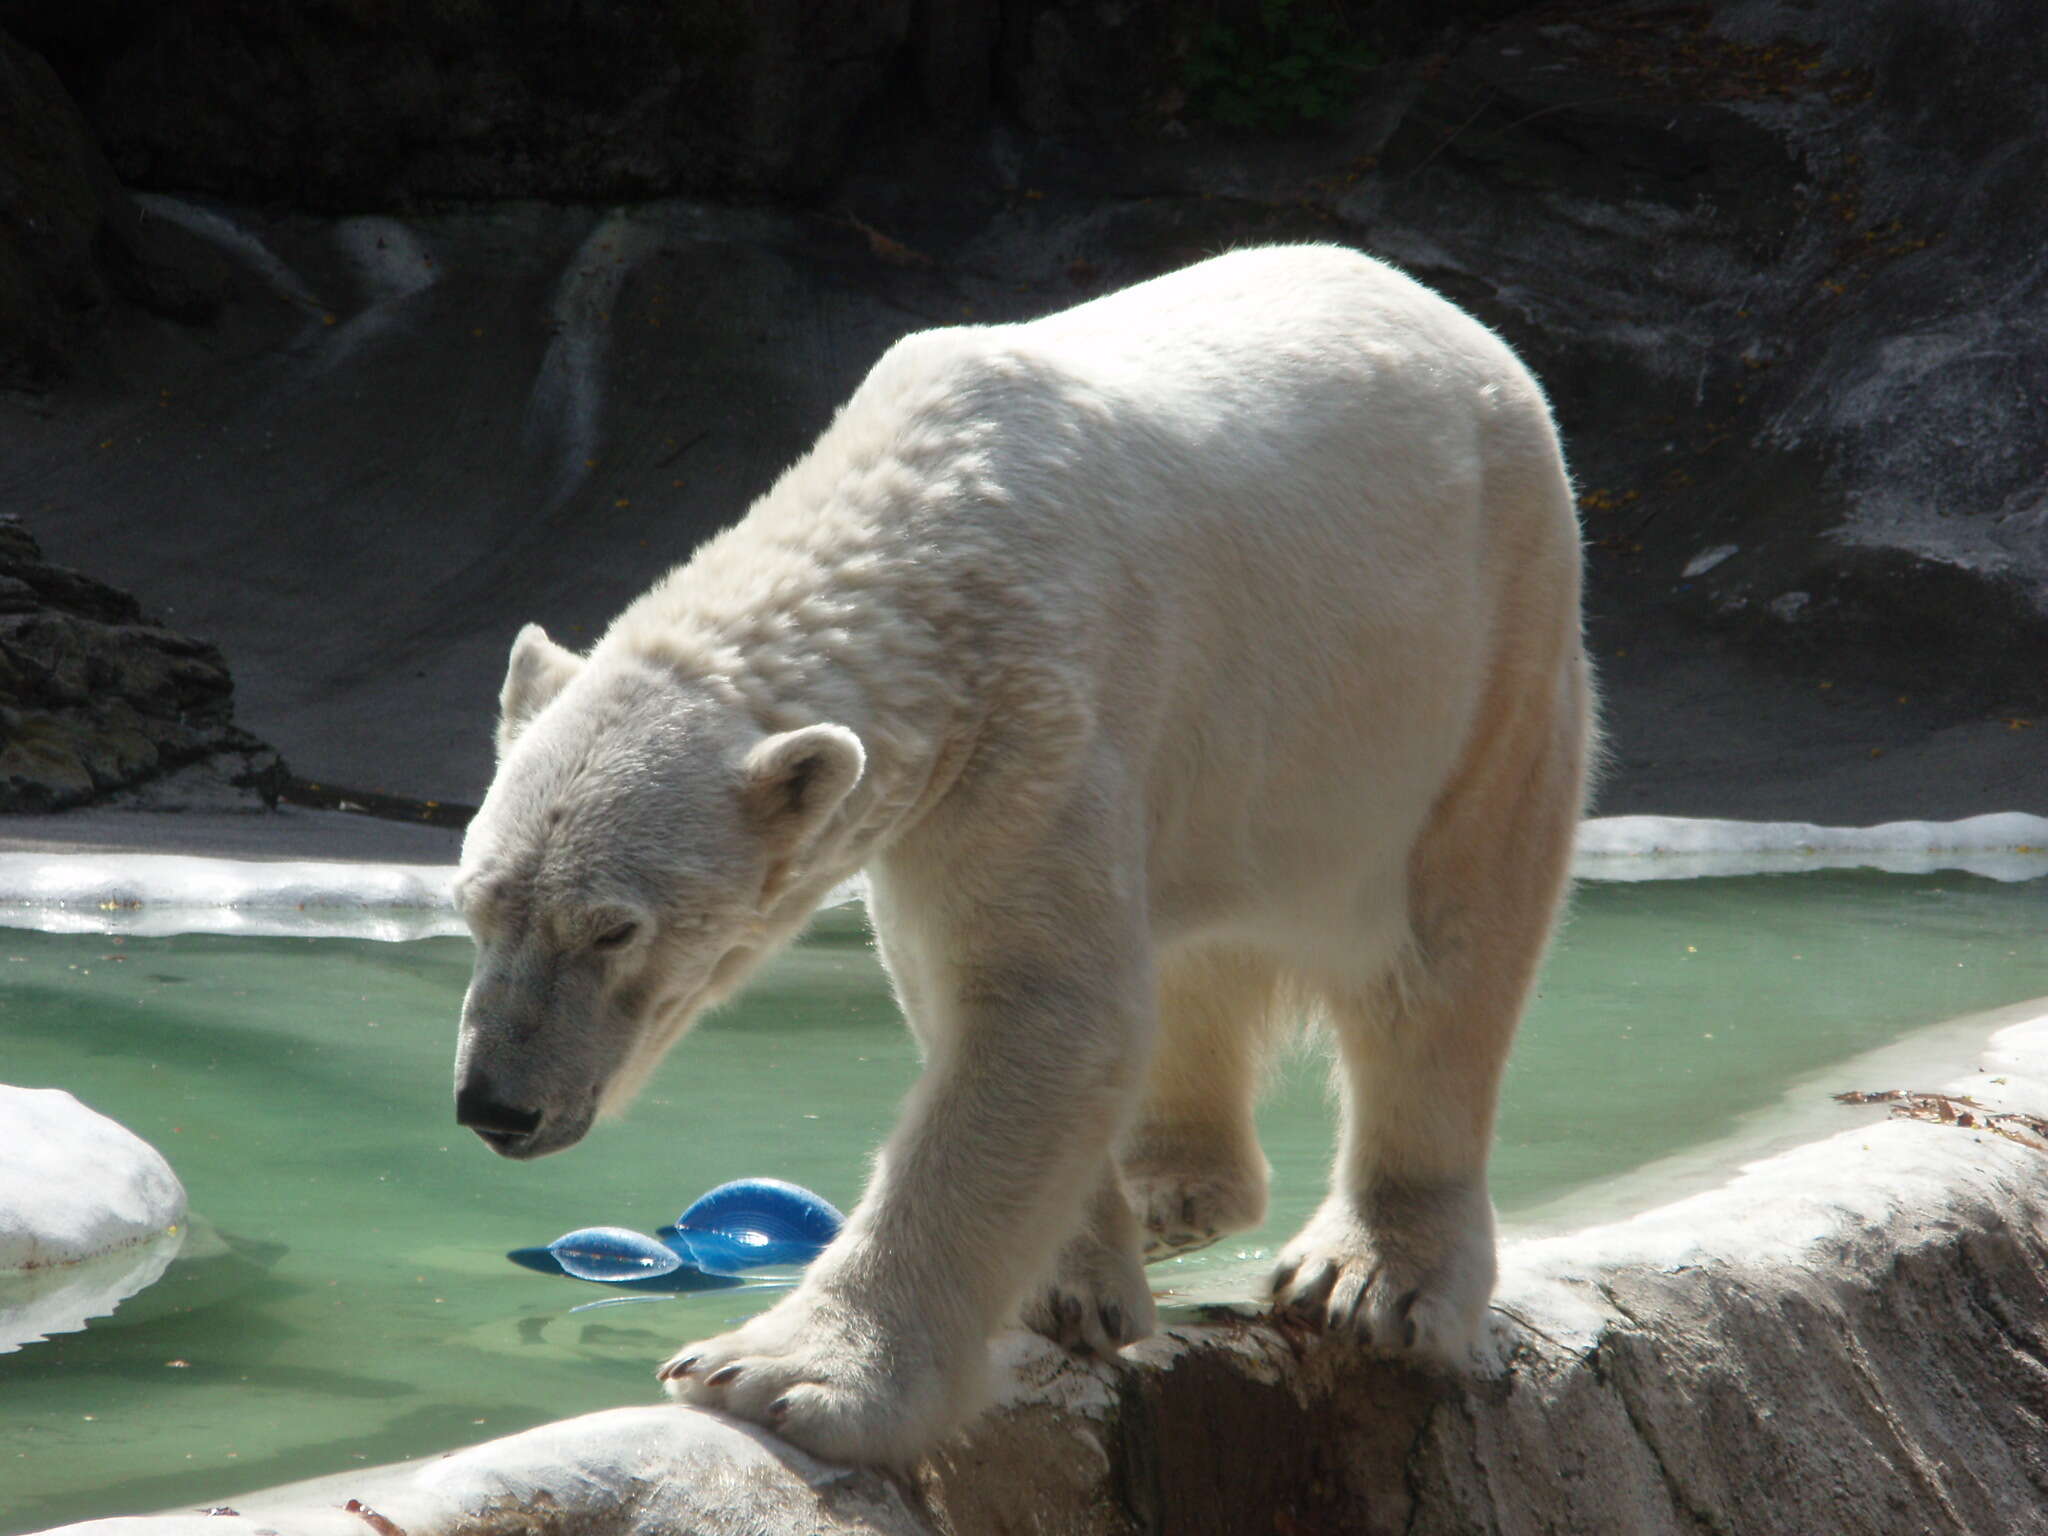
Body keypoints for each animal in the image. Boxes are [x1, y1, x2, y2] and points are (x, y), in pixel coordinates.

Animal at [456, 246, 1589, 1474]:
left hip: (1475, 656)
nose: (495, 1105)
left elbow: (1043, 999)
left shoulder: (1036, 713)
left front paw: (775, 1374)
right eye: (476, 907)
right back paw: (1166, 1187)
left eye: (613, 928)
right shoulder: (940, 790)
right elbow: (992, 1000)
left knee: (1443, 957)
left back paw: (1372, 1277)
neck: (922, 532)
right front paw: (1074, 1284)